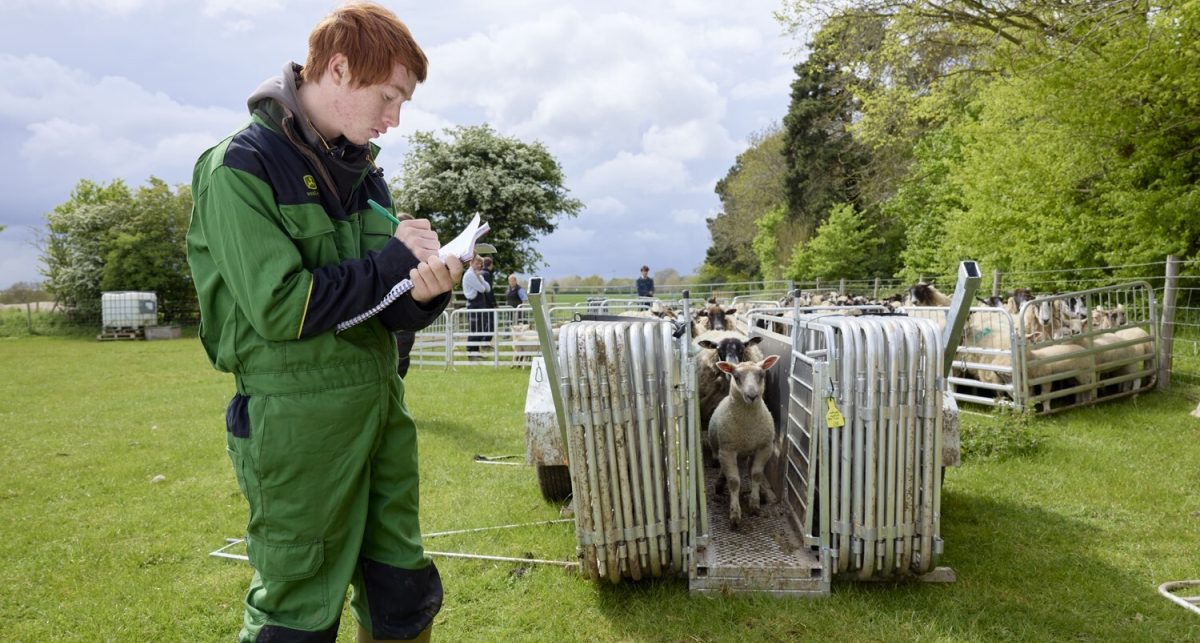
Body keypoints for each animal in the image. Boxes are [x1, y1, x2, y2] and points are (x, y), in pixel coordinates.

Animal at [705, 355, 782, 530]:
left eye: (762, 375)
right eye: (736, 376)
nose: (752, 396)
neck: (748, 423)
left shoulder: (764, 448)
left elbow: (756, 474)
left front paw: (754, 503)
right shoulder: (728, 450)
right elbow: (734, 482)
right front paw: (735, 514)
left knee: (749, 469)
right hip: (720, 449)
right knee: (723, 468)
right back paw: (720, 483)